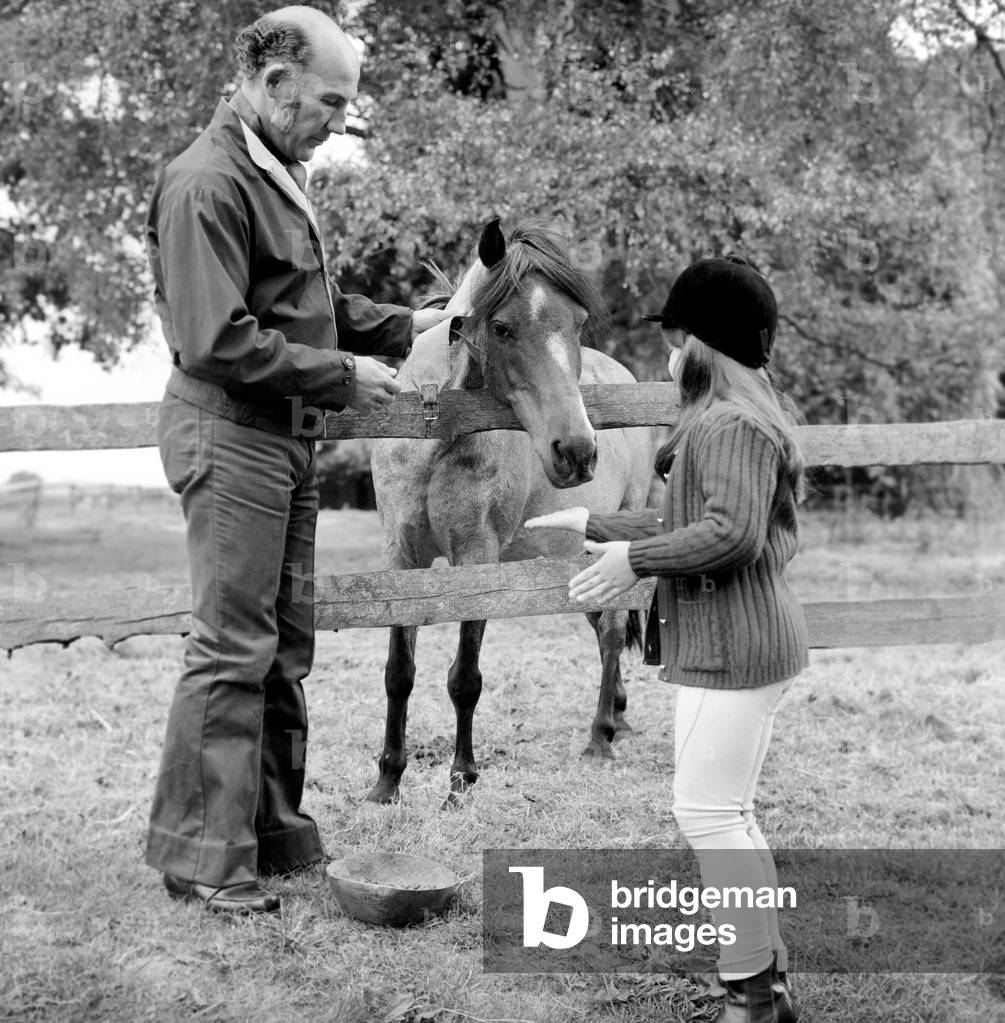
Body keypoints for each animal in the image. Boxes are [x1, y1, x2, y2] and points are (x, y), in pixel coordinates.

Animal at [366, 217, 654, 806]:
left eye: (579, 323)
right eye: (500, 328)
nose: (577, 452)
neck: (436, 433)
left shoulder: (478, 559)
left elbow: (465, 677)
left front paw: (461, 781)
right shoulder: (400, 557)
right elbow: (399, 671)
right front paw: (388, 781)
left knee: (613, 631)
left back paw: (600, 737)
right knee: (601, 627)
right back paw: (617, 714)